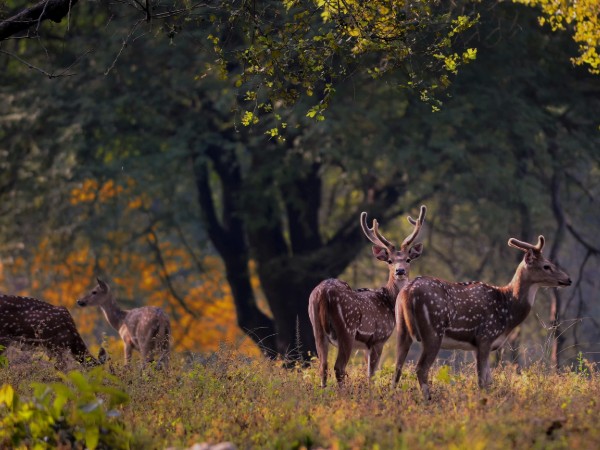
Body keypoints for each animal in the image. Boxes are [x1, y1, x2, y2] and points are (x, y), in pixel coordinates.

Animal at [310, 207, 426, 386]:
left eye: (408, 259)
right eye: (390, 261)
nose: (400, 271)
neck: (388, 302)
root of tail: (323, 293)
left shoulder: (366, 346)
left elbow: (368, 372)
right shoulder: (379, 338)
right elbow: (372, 374)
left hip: (316, 327)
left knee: (323, 366)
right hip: (347, 329)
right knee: (339, 367)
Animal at [394, 234, 572, 400]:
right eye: (546, 266)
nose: (568, 279)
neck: (508, 311)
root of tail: (407, 292)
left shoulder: (477, 345)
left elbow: (489, 380)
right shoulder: (485, 336)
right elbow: (482, 381)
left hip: (402, 328)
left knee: (398, 366)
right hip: (433, 331)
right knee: (421, 368)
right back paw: (428, 399)